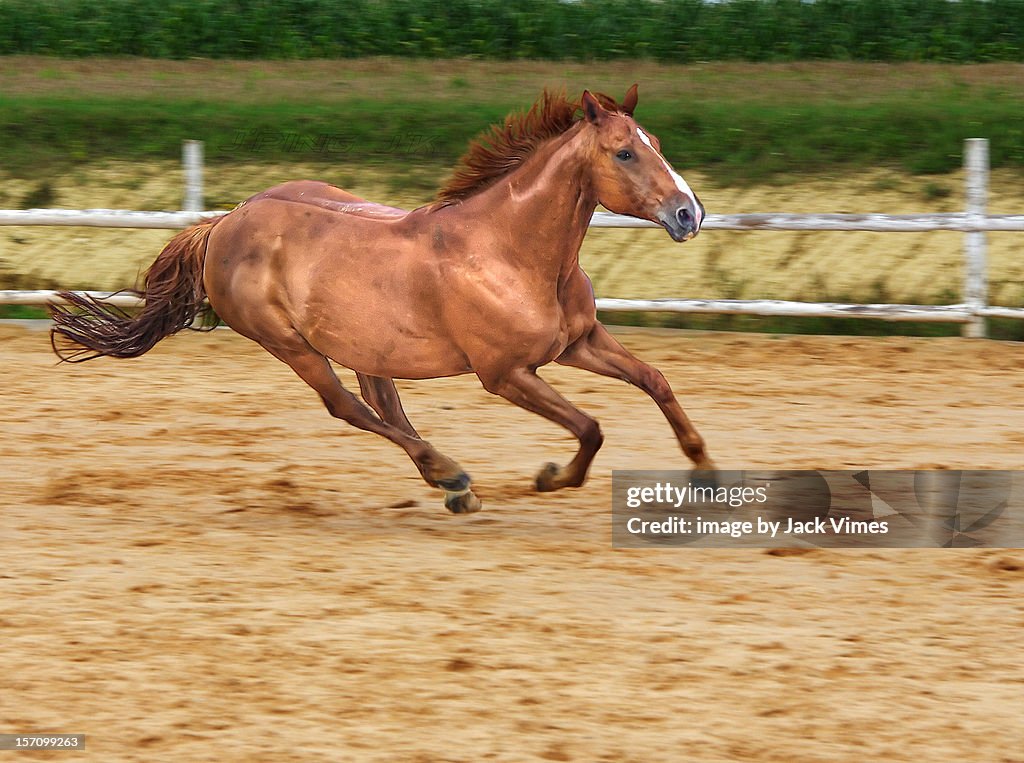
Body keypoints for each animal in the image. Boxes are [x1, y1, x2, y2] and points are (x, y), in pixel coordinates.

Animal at [51, 86, 716, 507]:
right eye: (624, 151)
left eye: (655, 141)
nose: (690, 213)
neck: (510, 251)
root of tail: (224, 222)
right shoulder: (505, 374)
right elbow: (591, 427)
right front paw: (551, 478)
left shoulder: (578, 343)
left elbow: (655, 381)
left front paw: (706, 474)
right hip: (289, 344)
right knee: (349, 407)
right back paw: (451, 476)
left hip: (364, 344)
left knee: (383, 405)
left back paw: (450, 484)